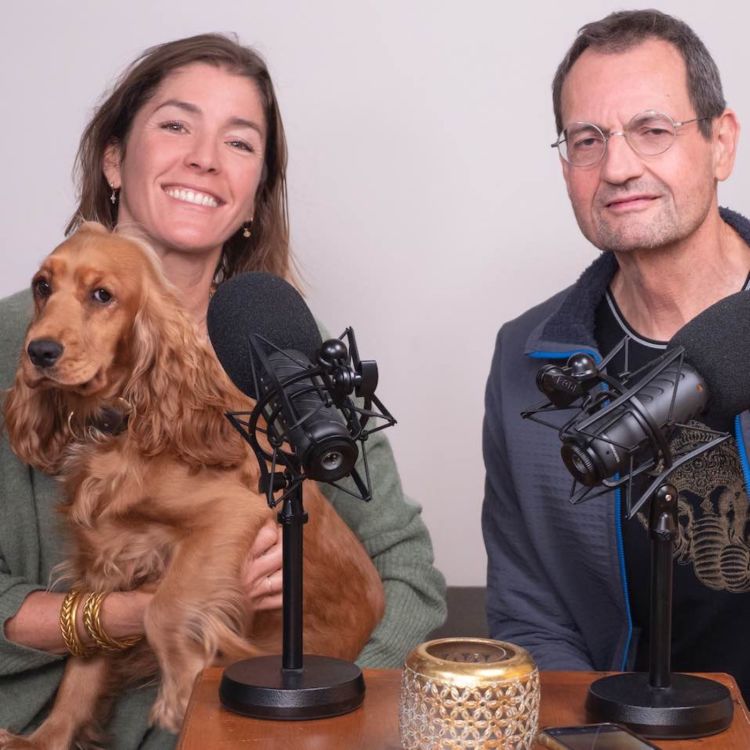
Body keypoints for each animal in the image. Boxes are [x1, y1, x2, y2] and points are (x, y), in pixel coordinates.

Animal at [0, 225, 384, 750]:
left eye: (102, 295)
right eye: (42, 286)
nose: (39, 352)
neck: (123, 426)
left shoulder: (234, 515)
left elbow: (164, 607)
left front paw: (181, 689)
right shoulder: (104, 556)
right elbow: (82, 665)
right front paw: (45, 739)